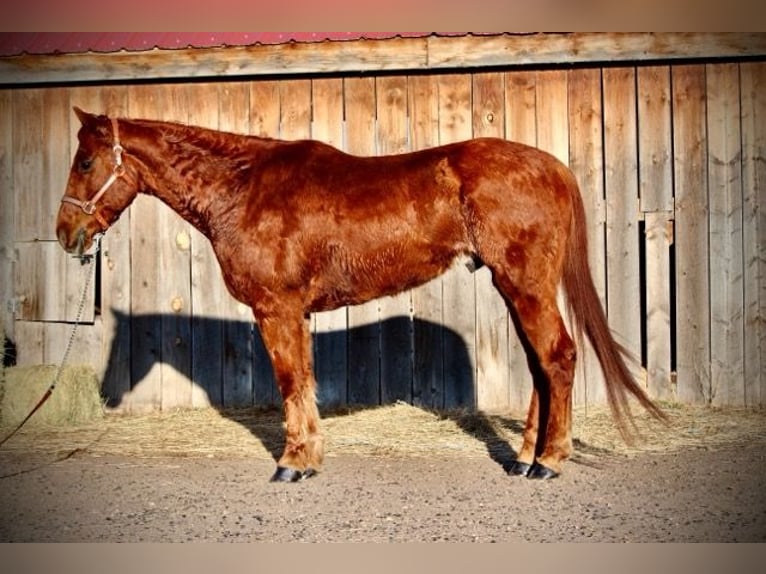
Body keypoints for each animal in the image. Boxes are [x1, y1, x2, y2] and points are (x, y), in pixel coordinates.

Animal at [55, 107, 664, 482]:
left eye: (85, 162)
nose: (66, 234)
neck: (243, 187)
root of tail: (554, 168)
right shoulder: (293, 313)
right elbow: (302, 382)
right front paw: (307, 458)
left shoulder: (277, 309)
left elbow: (291, 383)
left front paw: (292, 462)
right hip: (516, 288)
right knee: (542, 366)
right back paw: (523, 459)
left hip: (525, 284)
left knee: (558, 358)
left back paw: (550, 462)